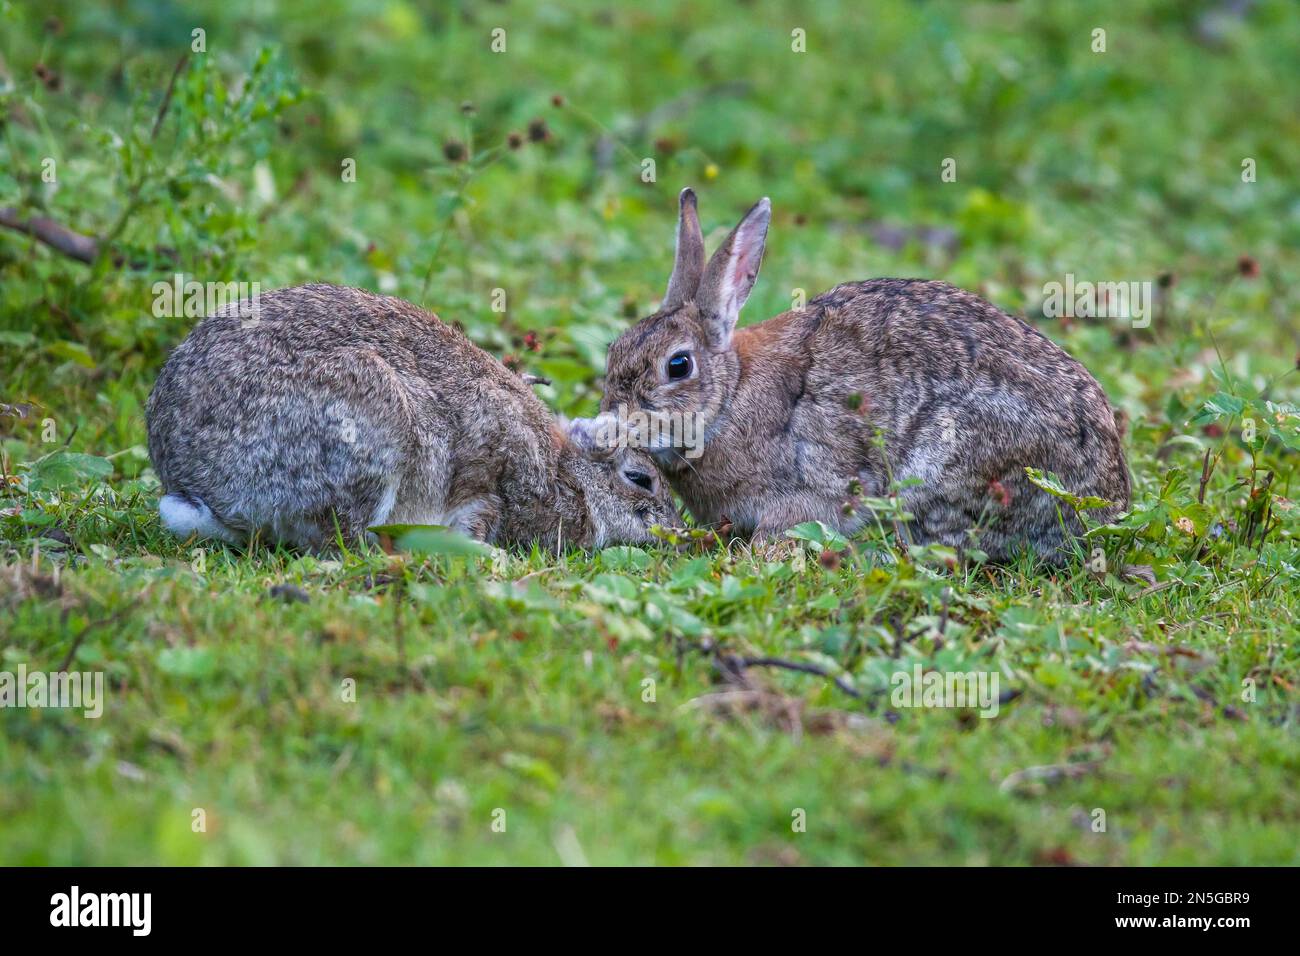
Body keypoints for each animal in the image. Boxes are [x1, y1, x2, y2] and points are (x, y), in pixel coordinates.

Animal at [146, 283, 679, 552]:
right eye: (641, 478)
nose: (676, 531)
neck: (566, 473)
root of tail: (191, 483)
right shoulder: (494, 482)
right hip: (368, 428)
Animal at [578, 189, 1130, 564]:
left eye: (678, 366)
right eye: (615, 348)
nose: (611, 417)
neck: (729, 395)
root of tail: (1108, 500)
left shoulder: (806, 492)